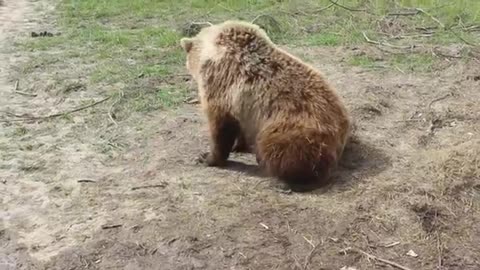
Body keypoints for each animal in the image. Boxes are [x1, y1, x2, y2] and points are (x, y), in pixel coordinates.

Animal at [180, 20, 348, 190]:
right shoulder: (241, 104)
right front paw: (238, 145)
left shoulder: (221, 86)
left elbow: (220, 128)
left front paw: (207, 157)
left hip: (294, 129)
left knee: (281, 152)